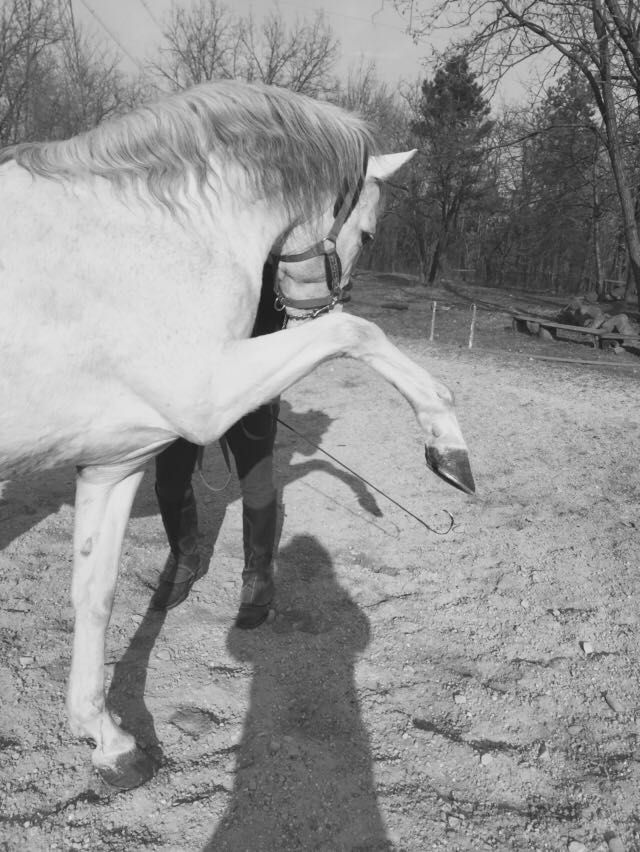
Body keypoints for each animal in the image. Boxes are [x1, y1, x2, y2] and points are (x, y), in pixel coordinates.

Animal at [0, 79, 475, 789]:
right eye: (366, 231)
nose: (302, 313)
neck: (157, 233)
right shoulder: (206, 393)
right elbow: (357, 333)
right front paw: (447, 446)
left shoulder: (114, 464)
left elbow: (95, 595)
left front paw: (108, 741)